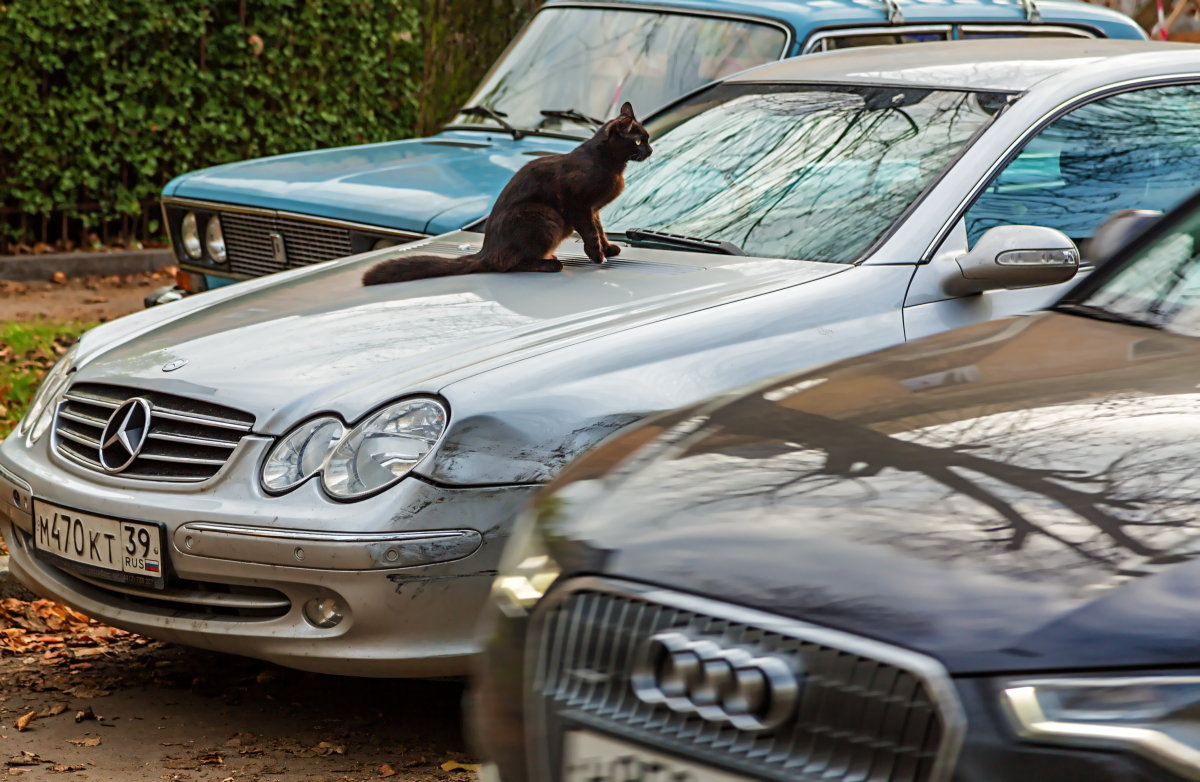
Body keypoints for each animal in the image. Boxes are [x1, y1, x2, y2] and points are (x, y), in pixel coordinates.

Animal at [362, 102, 652, 285]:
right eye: (639, 140)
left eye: (647, 138)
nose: (650, 150)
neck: (611, 165)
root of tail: (485, 251)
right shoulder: (577, 204)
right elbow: (591, 232)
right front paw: (597, 255)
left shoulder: (593, 209)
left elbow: (599, 230)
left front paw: (608, 248)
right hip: (544, 216)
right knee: (507, 264)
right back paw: (550, 263)